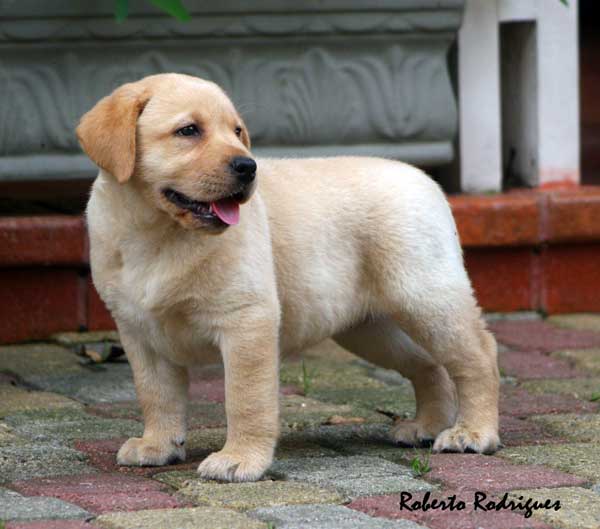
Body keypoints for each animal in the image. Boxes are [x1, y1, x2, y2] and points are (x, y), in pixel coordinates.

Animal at [77, 73, 500, 482]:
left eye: (237, 131)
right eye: (188, 131)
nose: (248, 167)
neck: (156, 233)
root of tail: (426, 180)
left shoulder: (247, 320)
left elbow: (245, 399)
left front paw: (239, 459)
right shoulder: (139, 331)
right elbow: (155, 394)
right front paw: (157, 445)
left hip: (425, 298)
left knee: (479, 355)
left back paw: (472, 433)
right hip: (370, 329)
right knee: (427, 364)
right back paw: (426, 426)